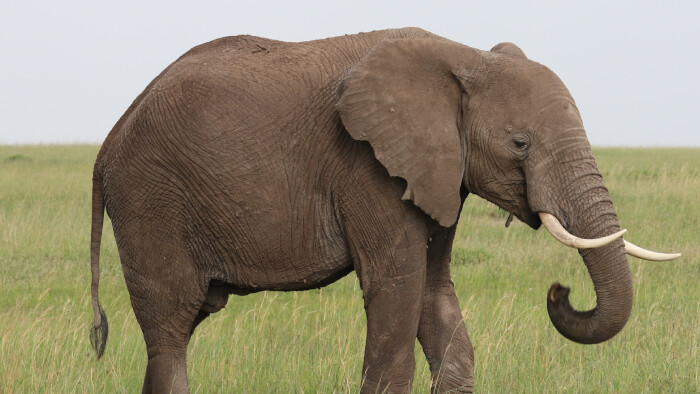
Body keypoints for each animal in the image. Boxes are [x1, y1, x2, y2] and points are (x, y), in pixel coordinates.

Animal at [87, 28, 680, 394]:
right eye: (519, 143)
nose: (560, 291)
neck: (463, 57)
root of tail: (108, 140)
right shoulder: (367, 167)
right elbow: (396, 290)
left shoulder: (438, 172)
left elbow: (435, 296)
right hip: (148, 202)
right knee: (171, 330)